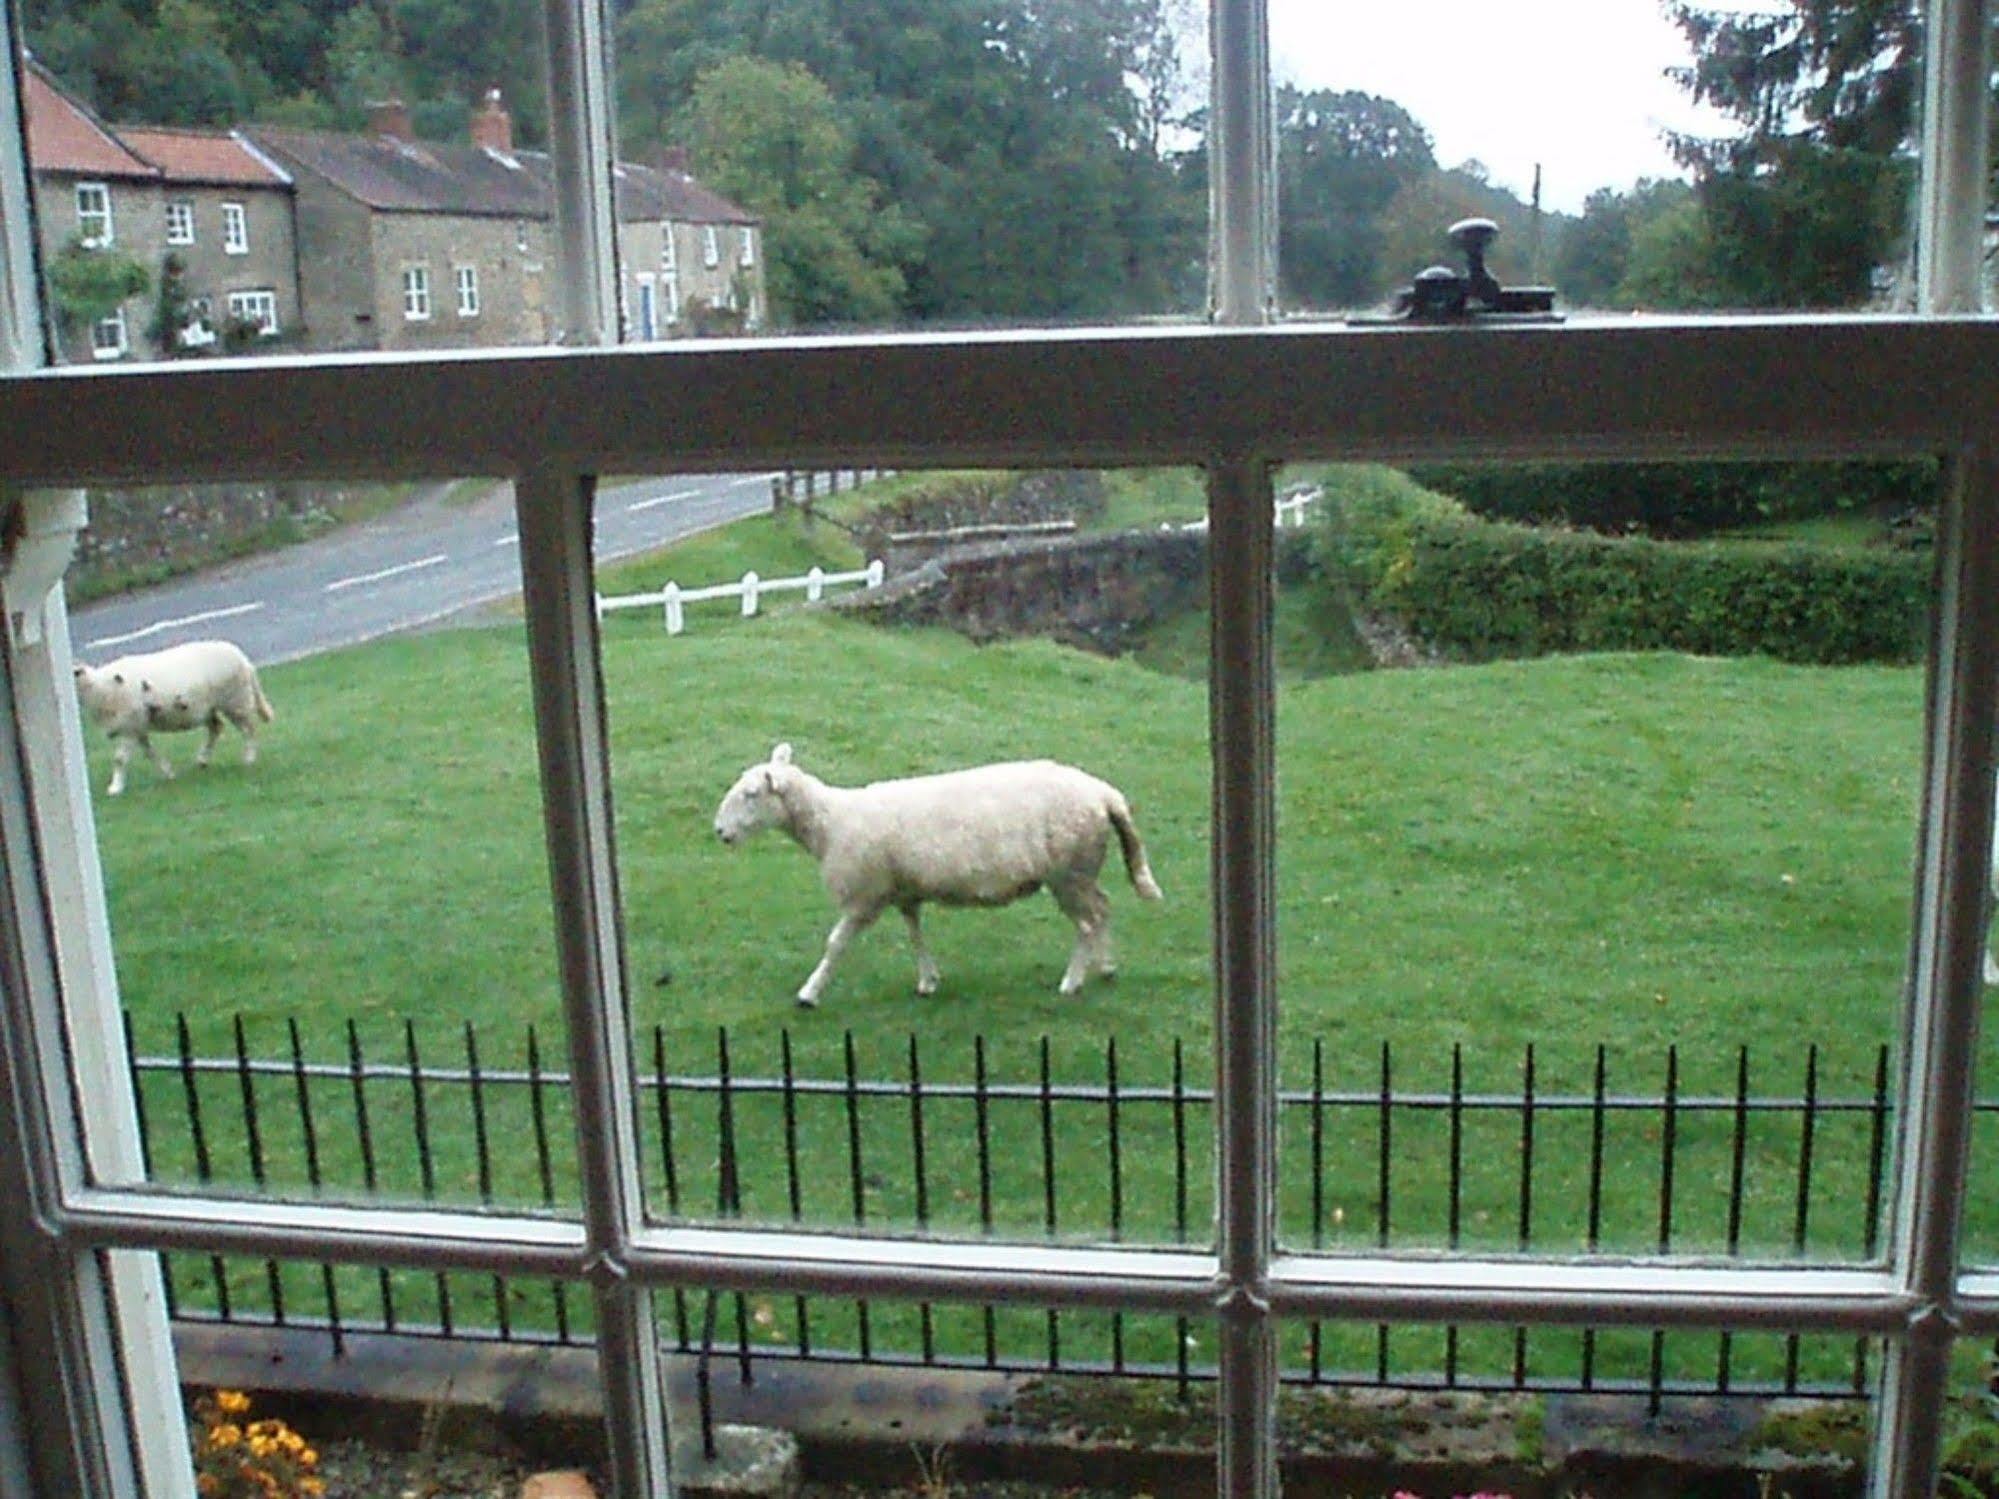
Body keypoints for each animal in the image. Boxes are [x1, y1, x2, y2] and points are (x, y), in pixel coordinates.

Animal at [73, 635, 275, 799]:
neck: (99, 687)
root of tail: (244, 660)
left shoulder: (130, 726)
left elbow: (120, 759)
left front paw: (115, 788)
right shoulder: (137, 726)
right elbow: (150, 752)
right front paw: (168, 773)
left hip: (235, 700)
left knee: (249, 729)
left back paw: (248, 758)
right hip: (209, 707)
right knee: (216, 727)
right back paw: (202, 760)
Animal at [719, 743, 1167, 1011]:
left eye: (751, 795)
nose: (720, 831)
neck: (831, 822)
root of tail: (1105, 795)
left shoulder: (866, 893)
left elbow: (836, 944)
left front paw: (809, 992)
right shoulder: (902, 889)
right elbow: (915, 934)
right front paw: (928, 980)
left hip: (1068, 870)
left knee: (1088, 922)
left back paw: (1072, 982)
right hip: (1082, 869)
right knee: (1103, 908)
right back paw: (1106, 967)